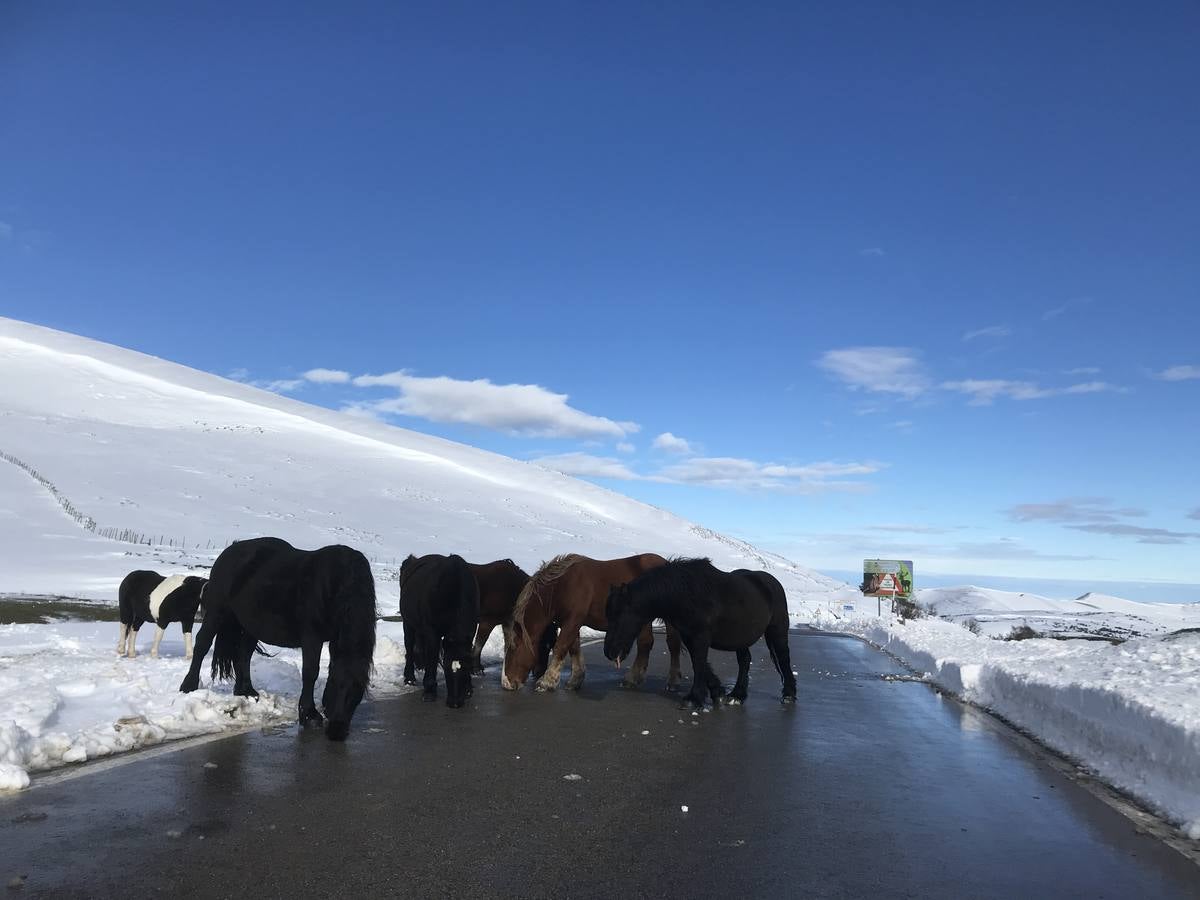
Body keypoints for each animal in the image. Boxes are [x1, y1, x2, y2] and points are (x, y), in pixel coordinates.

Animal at [176, 540, 374, 744]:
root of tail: (229, 551)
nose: (337, 732)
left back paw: (246, 691)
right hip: (217, 612)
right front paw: (309, 715)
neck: (336, 585)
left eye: (357, 692)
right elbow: (310, 672)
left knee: (243, 655)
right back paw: (188, 686)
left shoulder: (336, 639)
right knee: (202, 644)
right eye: (337, 686)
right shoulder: (312, 637)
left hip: (249, 625)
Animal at [400, 554, 480, 710]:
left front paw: (468, 688)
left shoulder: (471, 631)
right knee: (410, 647)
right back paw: (410, 678)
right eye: (446, 667)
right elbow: (432, 657)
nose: (454, 703)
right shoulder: (433, 632)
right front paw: (429, 691)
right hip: (408, 623)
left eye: (466, 667)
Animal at [501, 554, 681, 696]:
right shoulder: (570, 622)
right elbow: (573, 648)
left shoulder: (572, 620)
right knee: (645, 643)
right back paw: (633, 679)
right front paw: (575, 680)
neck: (562, 587)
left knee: (672, 645)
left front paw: (546, 682)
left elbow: (561, 647)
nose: (506, 683)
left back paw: (672, 682)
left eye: (513, 647)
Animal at [600, 556, 796, 710]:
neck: (687, 594)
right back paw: (737, 695)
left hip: (777, 630)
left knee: (784, 659)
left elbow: (699, 663)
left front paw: (694, 699)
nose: (609, 652)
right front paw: (717, 693)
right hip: (742, 637)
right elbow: (701, 663)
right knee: (745, 661)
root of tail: (773, 583)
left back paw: (789, 694)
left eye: (620, 616)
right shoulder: (689, 637)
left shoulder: (700, 637)